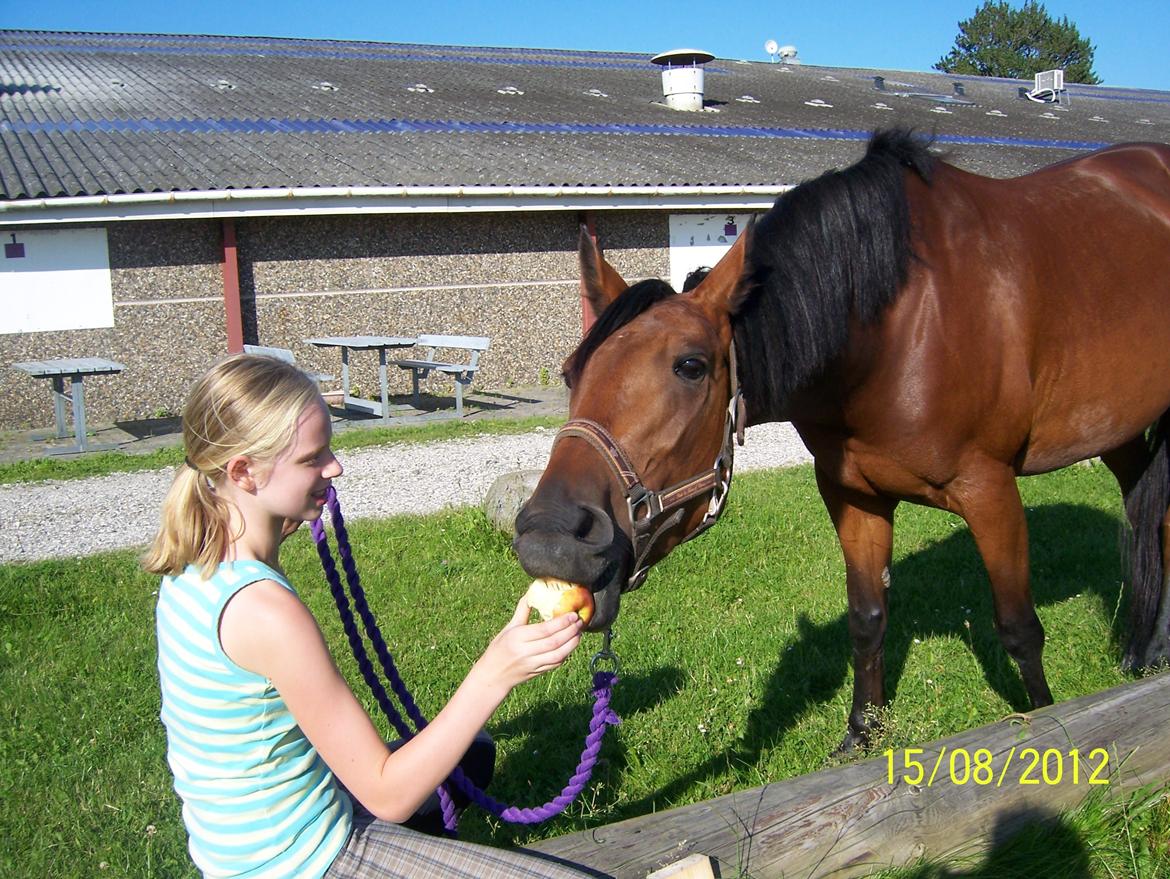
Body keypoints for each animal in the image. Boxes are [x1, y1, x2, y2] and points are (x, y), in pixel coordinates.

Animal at [517, 128, 1170, 749]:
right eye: (572, 372)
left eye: (691, 366)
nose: (550, 539)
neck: (897, 326)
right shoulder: (853, 495)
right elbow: (867, 617)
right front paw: (862, 733)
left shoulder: (990, 490)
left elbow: (1018, 628)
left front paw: (1049, 727)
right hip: (1116, 431)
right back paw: (1144, 651)